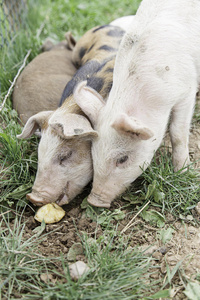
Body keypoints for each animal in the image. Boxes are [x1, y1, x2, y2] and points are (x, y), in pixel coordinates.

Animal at [74, 0, 200, 207]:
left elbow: (177, 132)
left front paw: (183, 170)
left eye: (122, 159)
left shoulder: (187, 89)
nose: (94, 200)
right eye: (93, 153)